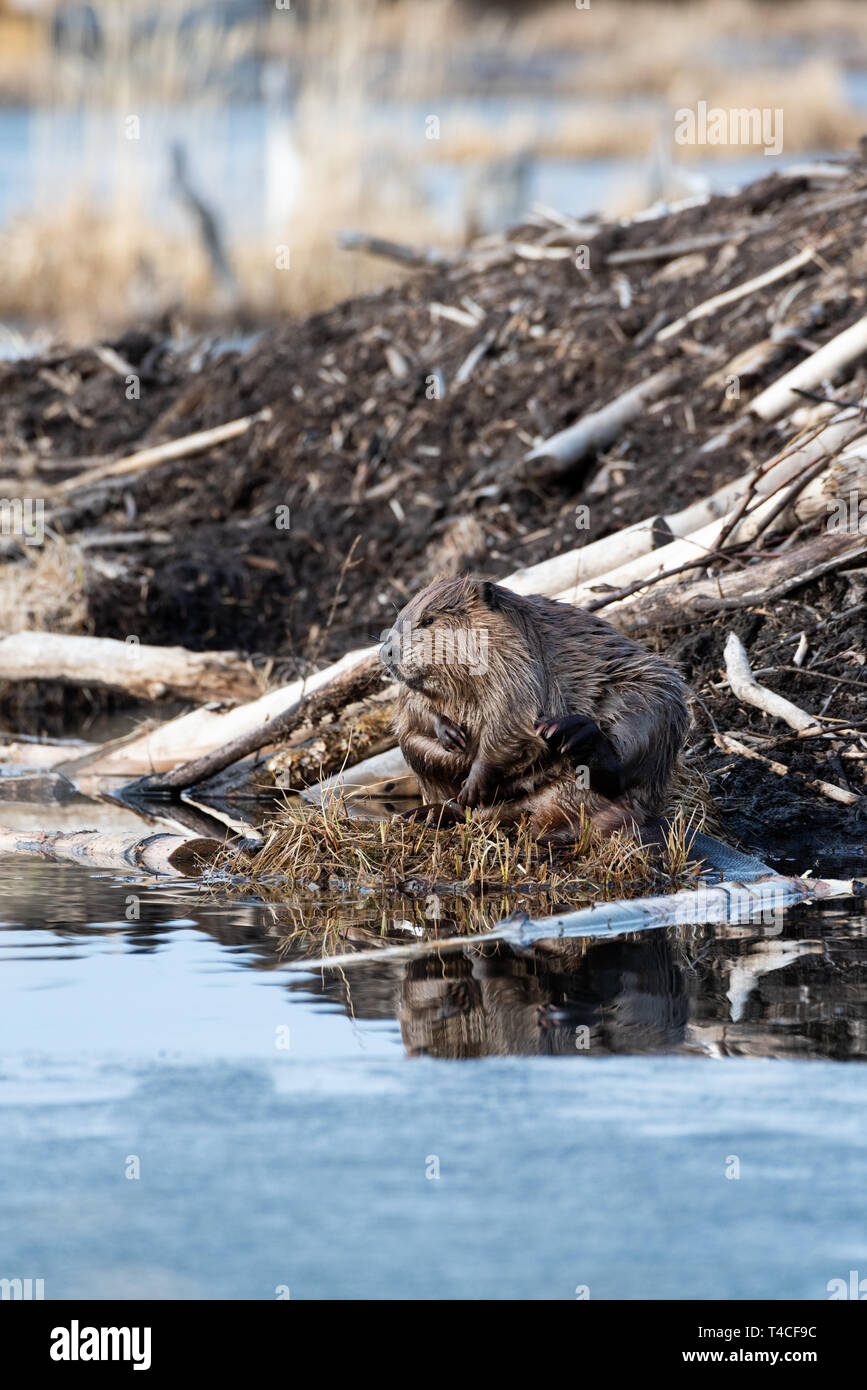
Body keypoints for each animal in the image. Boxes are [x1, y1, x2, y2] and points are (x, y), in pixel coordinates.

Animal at [377, 572, 691, 839]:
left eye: (429, 620)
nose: (386, 651)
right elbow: (410, 708)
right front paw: (450, 734)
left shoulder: (519, 668)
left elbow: (511, 726)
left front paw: (472, 786)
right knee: (418, 753)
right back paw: (424, 814)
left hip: (653, 699)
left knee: (620, 778)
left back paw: (571, 735)